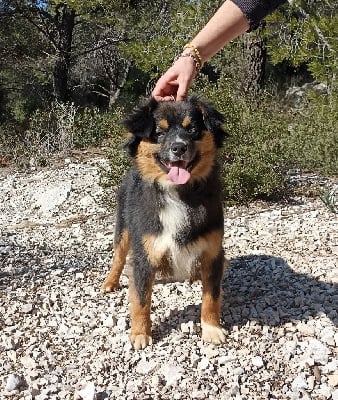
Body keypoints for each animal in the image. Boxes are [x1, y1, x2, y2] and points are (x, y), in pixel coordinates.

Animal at [100, 95, 227, 348]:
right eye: (159, 132)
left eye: (193, 129)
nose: (179, 147)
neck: (178, 193)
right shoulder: (144, 253)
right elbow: (141, 300)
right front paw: (140, 334)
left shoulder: (213, 252)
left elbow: (211, 296)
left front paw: (211, 329)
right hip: (123, 229)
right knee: (118, 257)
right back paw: (110, 282)